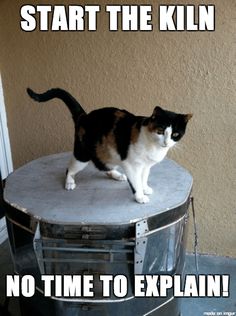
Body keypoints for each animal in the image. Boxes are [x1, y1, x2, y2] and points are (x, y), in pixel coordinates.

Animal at [26, 87, 192, 204]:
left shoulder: (146, 166)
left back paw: (117, 175)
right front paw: (140, 196)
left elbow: (143, 178)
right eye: (160, 131)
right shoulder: (131, 165)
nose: (166, 142)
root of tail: (84, 116)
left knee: (103, 166)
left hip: (107, 154)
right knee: (69, 169)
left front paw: (145, 188)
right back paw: (69, 182)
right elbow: (136, 181)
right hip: (82, 155)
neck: (153, 146)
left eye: (175, 134)